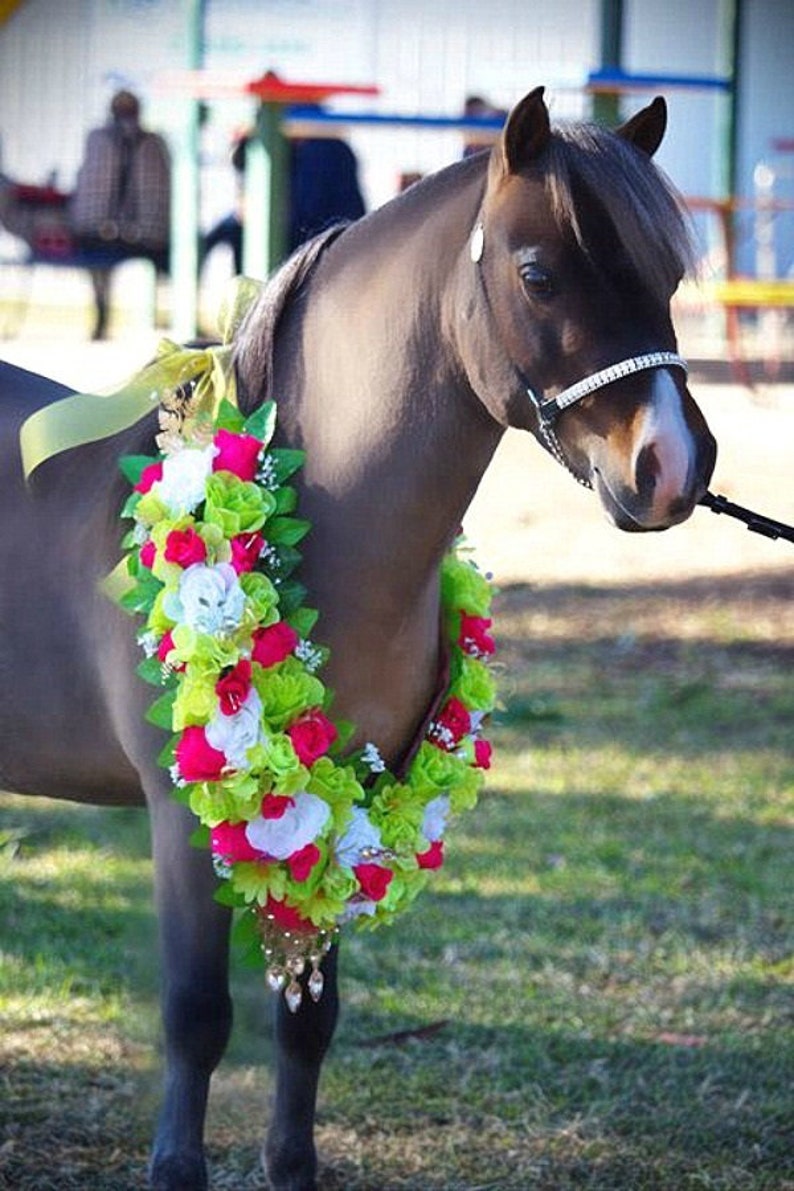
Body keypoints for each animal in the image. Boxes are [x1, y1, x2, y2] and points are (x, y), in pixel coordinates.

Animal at [0, 86, 717, 1190]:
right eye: (537, 275)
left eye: (669, 276)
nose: (673, 466)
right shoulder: (181, 819)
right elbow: (195, 1018)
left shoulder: (345, 798)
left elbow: (310, 1022)